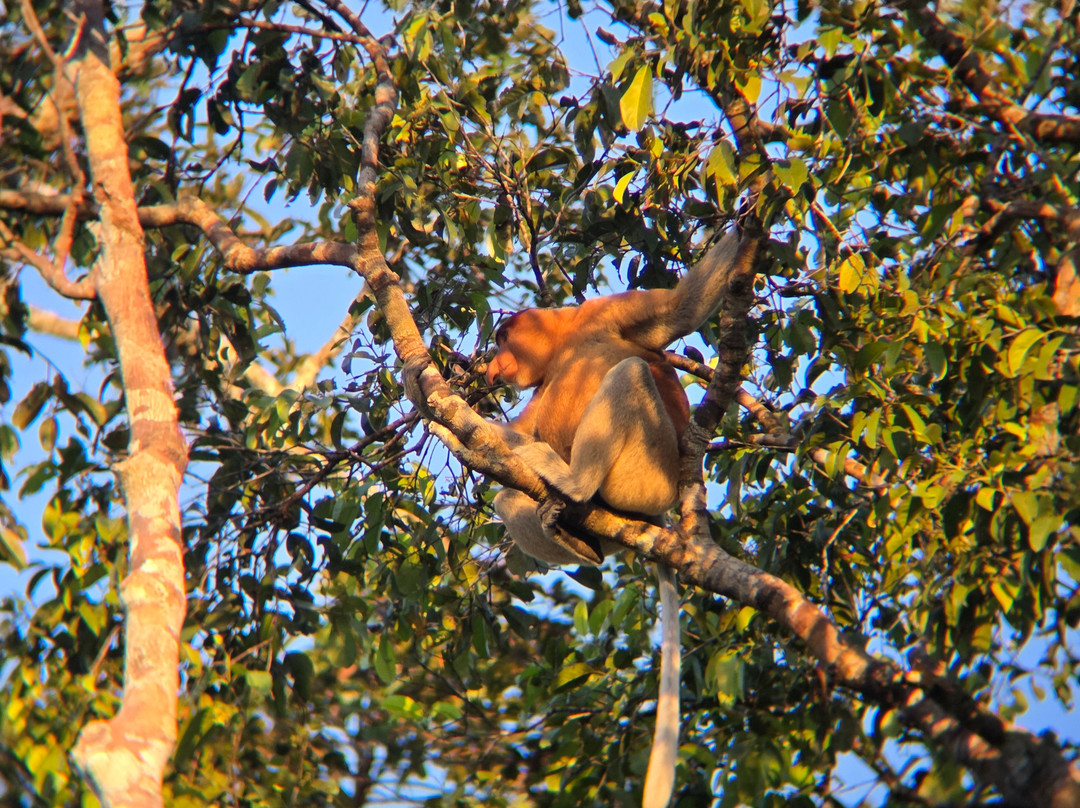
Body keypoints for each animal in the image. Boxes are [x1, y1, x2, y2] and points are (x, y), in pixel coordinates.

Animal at [486, 231, 741, 808]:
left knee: (630, 373)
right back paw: (575, 534)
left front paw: (756, 223)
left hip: (647, 470)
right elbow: (518, 433)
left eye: (503, 339)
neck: (565, 344)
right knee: (508, 496)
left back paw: (573, 482)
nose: (491, 366)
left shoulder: (601, 312)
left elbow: (681, 309)